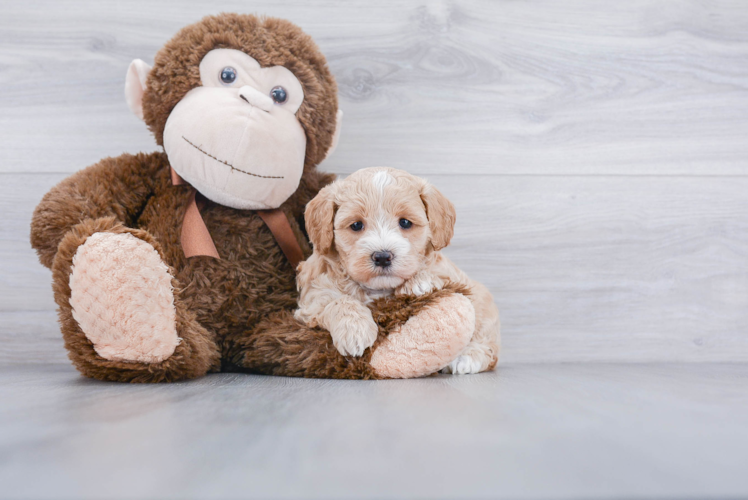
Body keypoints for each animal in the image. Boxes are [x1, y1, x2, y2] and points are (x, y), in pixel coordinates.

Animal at [296, 168, 500, 376]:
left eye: (405, 222)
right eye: (356, 225)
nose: (382, 256)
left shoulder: (451, 275)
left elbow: (433, 272)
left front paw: (419, 282)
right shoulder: (312, 296)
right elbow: (337, 300)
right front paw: (355, 330)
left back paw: (468, 357)